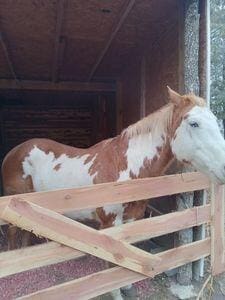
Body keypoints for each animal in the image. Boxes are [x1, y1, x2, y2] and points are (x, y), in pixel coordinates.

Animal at [1, 86, 225, 298]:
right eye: (194, 123)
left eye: (215, 121)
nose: (224, 168)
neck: (126, 167)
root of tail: (12, 153)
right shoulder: (110, 224)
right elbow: (113, 264)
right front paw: (116, 292)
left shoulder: (131, 220)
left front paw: (127, 286)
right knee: (12, 234)